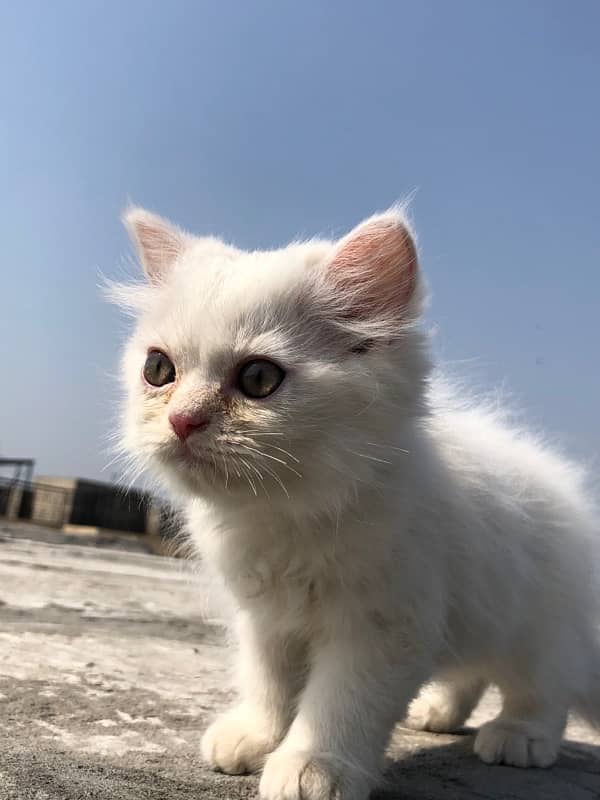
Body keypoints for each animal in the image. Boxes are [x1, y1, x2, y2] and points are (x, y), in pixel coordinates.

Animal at [113, 208, 600, 800]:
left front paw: (312, 765)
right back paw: (438, 712)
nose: (182, 420)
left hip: (537, 624)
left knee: (543, 688)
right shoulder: (266, 620)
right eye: (159, 371)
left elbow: (340, 705)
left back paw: (519, 737)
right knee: (472, 673)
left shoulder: (383, 626)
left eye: (258, 378)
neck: (286, 512)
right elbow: (268, 682)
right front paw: (256, 737)